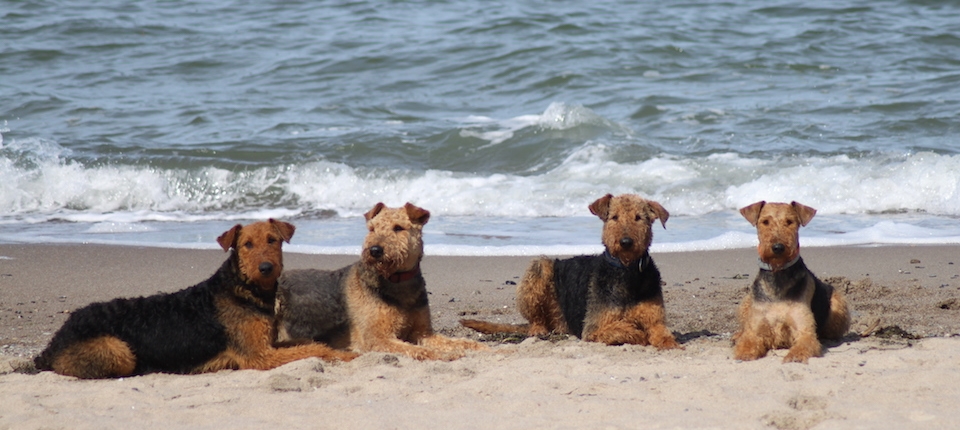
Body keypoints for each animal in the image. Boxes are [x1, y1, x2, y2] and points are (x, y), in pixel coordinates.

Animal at [33, 220, 358, 378]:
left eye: (273, 240)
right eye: (246, 244)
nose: (266, 268)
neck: (243, 290)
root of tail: (53, 343)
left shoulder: (266, 344)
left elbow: (309, 344)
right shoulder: (258, 356)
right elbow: (312, 350)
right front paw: (346, 355)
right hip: (119, 350)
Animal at [278, 203, 488, 362]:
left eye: (398, 227)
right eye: (372, 228)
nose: (375, 250)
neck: (397, 281)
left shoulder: (423, 333)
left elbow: (460, 342)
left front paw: (481, 348)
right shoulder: (378, 338)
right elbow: (416, 350)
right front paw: (445, 354)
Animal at [460, 195, 680, 350]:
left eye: (639, 218)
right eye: (614, 217)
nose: (626, 242)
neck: (627, 271)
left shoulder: (656, 322)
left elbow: (663, 336)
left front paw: (670, 344)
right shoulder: (593, 328)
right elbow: (625, 330)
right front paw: (639, 334)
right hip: (541, 268)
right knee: (536, 320)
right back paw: (538, 330)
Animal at [732, 202, 852, 362]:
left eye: (790, 222)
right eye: (765, 222)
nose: (778, 247)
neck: (778, 274)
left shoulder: (804, 331)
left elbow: (802, 346)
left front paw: (794, 356)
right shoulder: (755, 331)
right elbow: (746, 344)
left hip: (837, 303)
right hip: (747, 301)